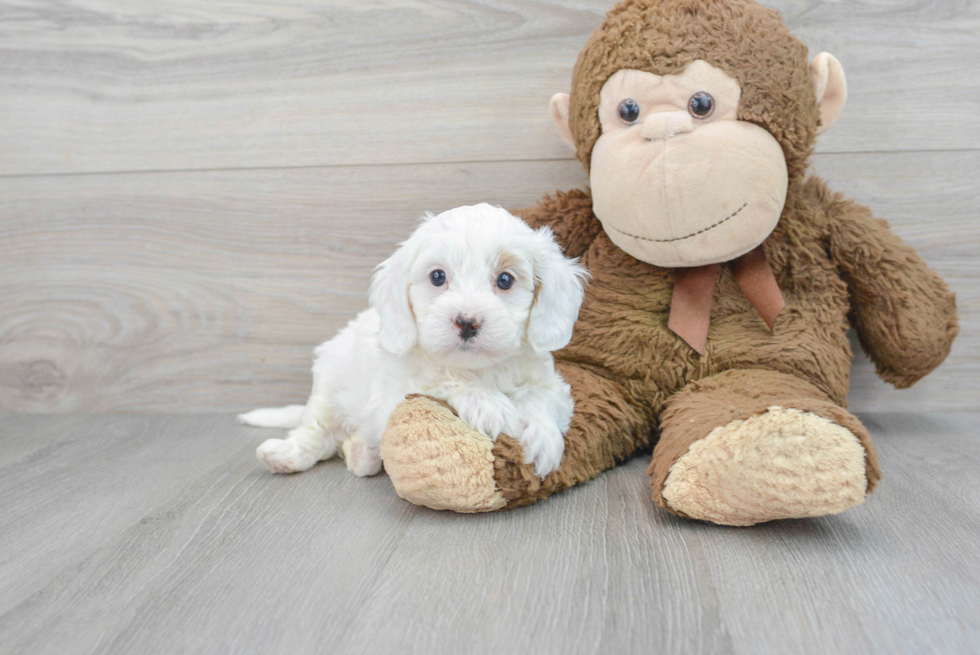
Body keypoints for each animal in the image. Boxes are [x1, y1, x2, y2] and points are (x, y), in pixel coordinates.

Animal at [240, 202, 584, 480]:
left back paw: (363, 454)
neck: (478, 368)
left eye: (505, 280)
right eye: (437, 277)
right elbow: (442, 380)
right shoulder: (396, 393)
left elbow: (540, 396)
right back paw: (285, 455)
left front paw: (542, 435)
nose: (467, 322)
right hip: (329, 387)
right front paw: (489, 405)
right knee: (317, 434)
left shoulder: (552, 385)